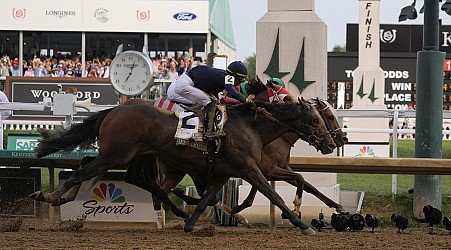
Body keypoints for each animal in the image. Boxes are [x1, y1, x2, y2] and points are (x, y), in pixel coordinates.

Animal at [32, 98, 336, 234]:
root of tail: (116, 109)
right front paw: (302, 223)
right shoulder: (251, 168)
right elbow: (273, 194)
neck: (254, 127)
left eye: (325, 118)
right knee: (82, 171)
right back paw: (50, 195)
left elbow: (207, 199)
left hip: (128, 155)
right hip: (118, 154)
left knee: (99, 169)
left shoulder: (225, 172)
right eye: (317, 120)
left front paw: (190, 224)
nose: (332, 143)